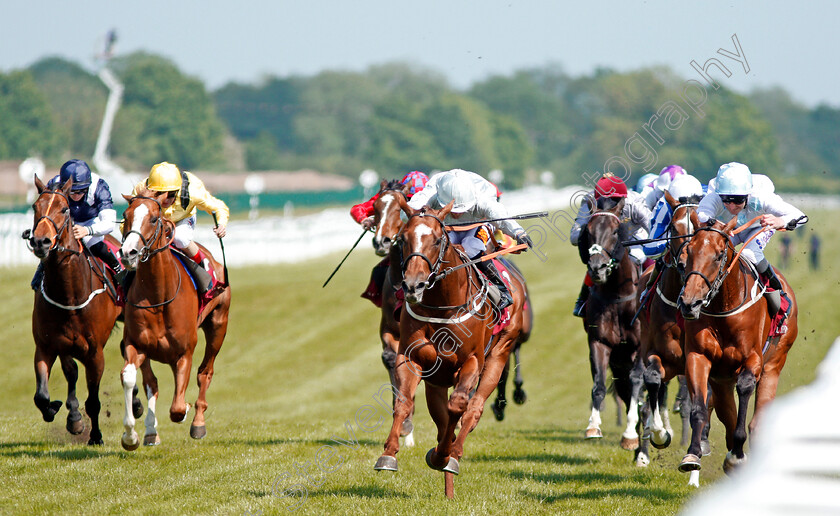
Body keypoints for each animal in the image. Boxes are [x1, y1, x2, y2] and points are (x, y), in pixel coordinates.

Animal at [26, 176, 120, 444]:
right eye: (35, 207)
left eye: (64, 209)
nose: (41, 241)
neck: (68, 294)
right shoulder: (46, 346)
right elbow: (41, 396)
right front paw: (61, 411)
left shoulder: (95, 353)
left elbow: (94, 401)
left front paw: (96, 436)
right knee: (71, 372)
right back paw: (73, 415)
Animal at [117, 190, 230, 452]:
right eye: (125, 215)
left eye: (153, 218)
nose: (128, 253)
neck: (159, 294)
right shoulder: (135, 345)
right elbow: (130, 378)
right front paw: (131, 436)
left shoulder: (184, 352)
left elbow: (178, 408)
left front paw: (187, 410)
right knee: (152, 383)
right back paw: (150, 431)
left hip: (218, 326)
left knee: (205, 372)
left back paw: (198, 422)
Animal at [376, 201, 528, 496]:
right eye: (404, 238)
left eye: (437, 240)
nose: (413, 285)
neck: (443, 306)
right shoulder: (411, 358)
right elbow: (404, 401)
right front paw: (388, 455)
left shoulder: (471, 361)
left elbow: (459, 405)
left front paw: (446, 456)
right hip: (436, 381)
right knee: (442, 416)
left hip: (500, 352)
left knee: (473, 409)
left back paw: (452, 455)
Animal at [580, 197, 648, 456]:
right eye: (587, 231)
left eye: (616, 231)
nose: (597, 268)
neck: (619, 295)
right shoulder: (599, 342)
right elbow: (598, 384)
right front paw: (593, 426)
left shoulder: (641, 346)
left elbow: (638, 381)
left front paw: (629, 434)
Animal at [676, 212, 800, 486]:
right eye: (688, 252)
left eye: (719, 254)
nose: (690, 303)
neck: (723, 307)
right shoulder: (698, 357)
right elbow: (699, 408)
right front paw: (692, 454)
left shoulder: (753, 359)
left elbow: (744, 388)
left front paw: (737, 456)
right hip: (722, 381)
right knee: (727, 414)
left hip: (774, 364)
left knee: (756, 422)